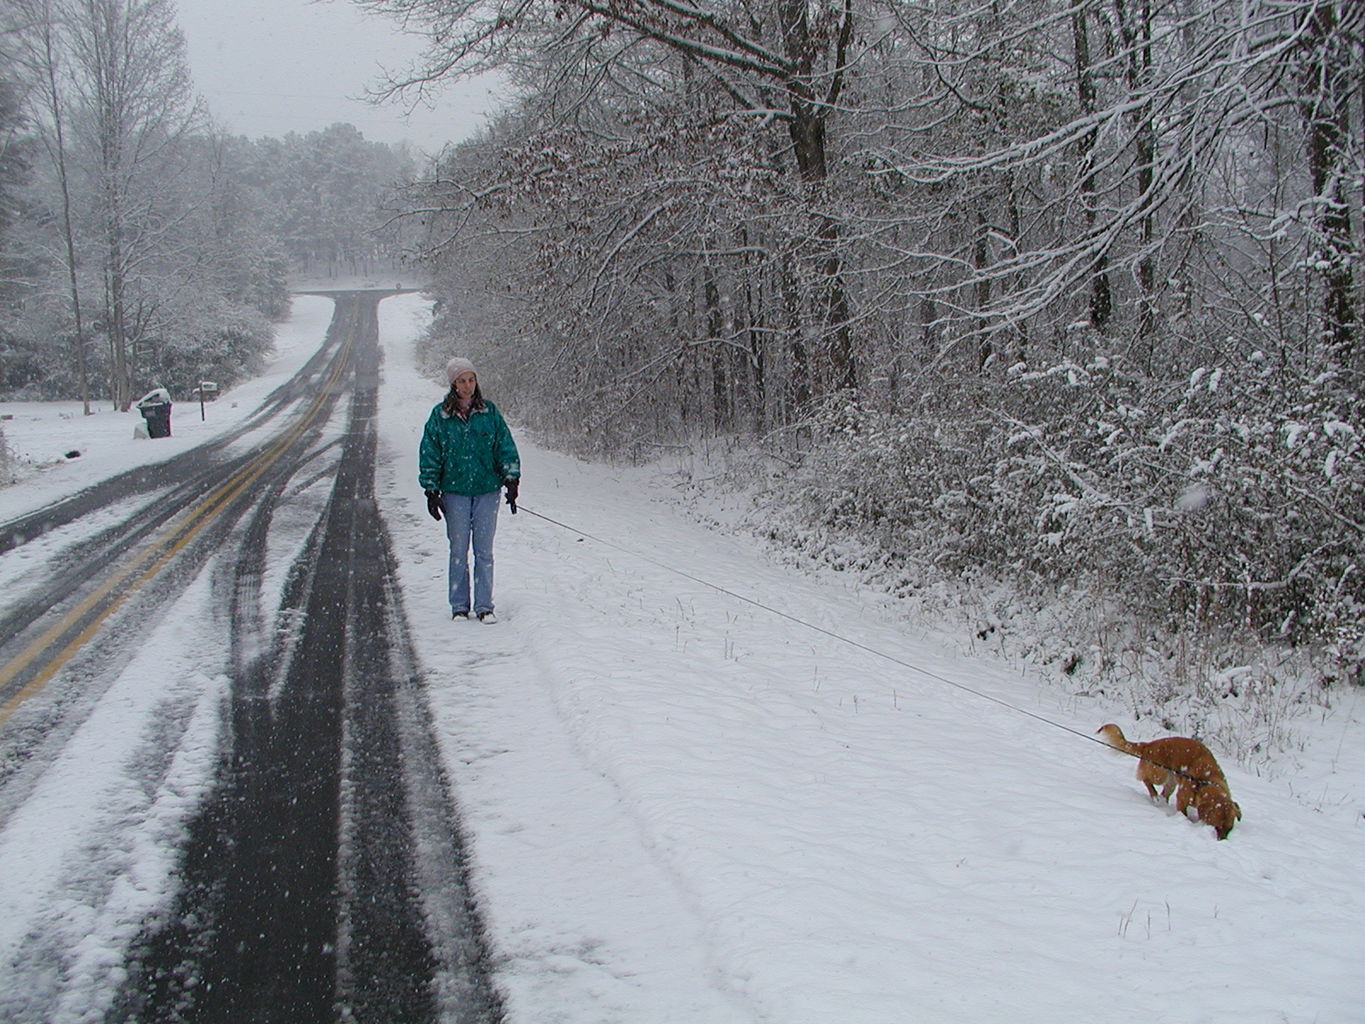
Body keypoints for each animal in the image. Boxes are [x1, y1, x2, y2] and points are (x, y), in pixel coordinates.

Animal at [1092, 726, 1244, 835]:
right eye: (1216, 827)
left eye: (1229, 829)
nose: (1222, 841)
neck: (1206, 782)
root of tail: (1148, 744)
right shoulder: (1182, 798)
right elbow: (1184, 813)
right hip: (1159, 774)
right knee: (1145, 779)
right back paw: (1154, 795)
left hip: (1171, 781)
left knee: (1164, 793)